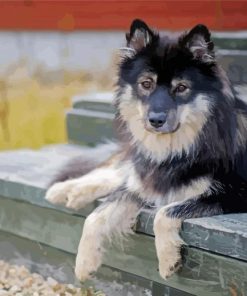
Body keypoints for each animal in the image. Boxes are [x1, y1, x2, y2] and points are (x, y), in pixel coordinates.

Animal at [45, 19, 247, 280]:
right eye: (146, 84)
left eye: (181, 88)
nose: (156, 120)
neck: (178, 149)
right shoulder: (143, 184)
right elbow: (96, 215)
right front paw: (84, 263)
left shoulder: (233, 193)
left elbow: (165, 212)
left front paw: (168, 259)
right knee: (112, 171)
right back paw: (65, 190)